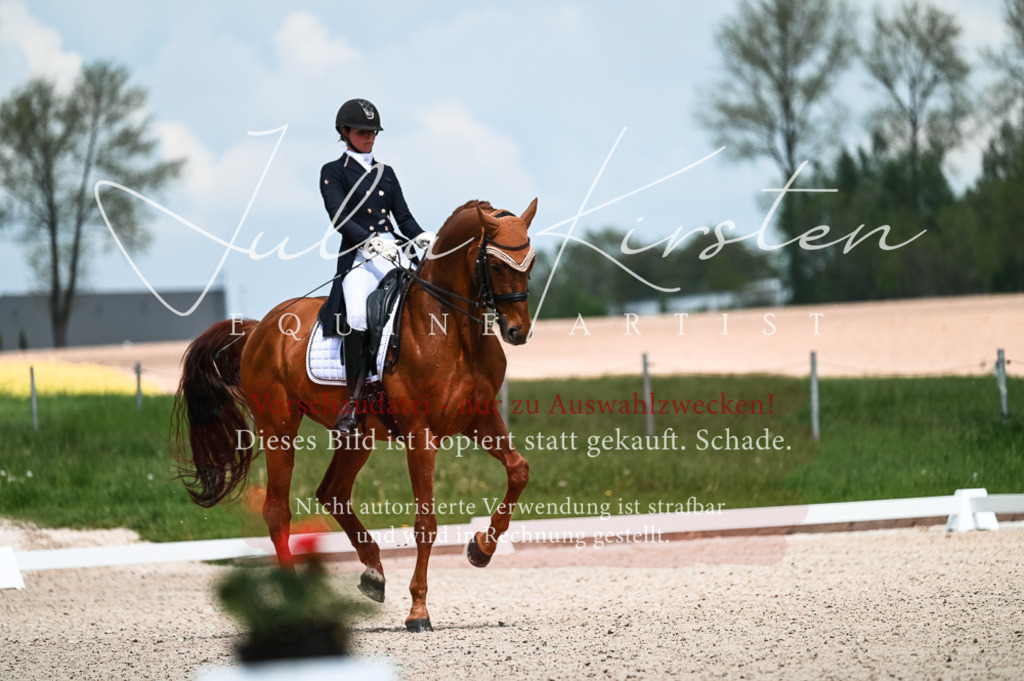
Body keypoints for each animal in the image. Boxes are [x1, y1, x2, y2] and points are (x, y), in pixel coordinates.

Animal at [173, 198, 538, 632]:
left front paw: (481, 548)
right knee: (278, 511)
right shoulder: (421, 434)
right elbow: (425, 523)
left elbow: (518, 470)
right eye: (496, 265)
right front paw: (418, 611)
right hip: (279, 428)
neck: (452, 331)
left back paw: (373, 572)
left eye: (531, 261)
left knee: (332, 493)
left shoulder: (480, 421)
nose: (518, 332)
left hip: (357, 435)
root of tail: (259, 328)